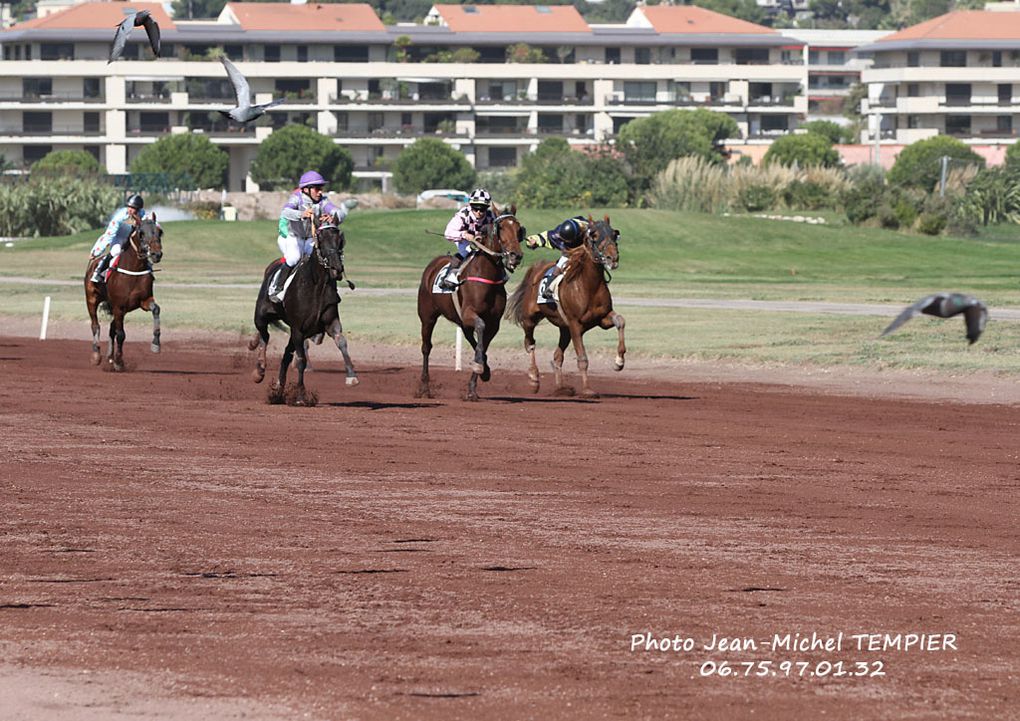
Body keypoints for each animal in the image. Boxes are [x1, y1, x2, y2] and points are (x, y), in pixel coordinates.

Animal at [84, 214, 163, 373]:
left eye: (159, 232)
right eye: (141, 233)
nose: (156, 254)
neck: (134, 270)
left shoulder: (143, 301)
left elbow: (156, 309)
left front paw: (155, 344)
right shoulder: (118, 306)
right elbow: (121, 334)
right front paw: (119, 361)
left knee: (111, 328)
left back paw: (109, 356)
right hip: (92, 300)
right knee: (96, 325)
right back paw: (97, 355)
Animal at [416, 206, 526, 403]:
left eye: (518, 229)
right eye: (501, 228)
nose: (516, 256)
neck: (487, 276)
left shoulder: (493, 322)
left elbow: (482, 345)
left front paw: (478, 380)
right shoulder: (469, 313)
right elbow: (480, 330)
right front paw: (481, 367)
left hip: (461, 321)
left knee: (469, 336)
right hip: (427, 317)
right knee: (426, 347)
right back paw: (425, 388)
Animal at [503, 218, 620, 399]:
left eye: (614, 234)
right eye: (595, 236)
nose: (612, 258)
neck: (589, 285)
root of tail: (536, 269)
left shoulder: (602, 318)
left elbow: (620, 321)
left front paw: (619, 362)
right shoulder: (575, 325)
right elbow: (582, 358)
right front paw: (587, 390)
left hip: (564, 329)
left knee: (557, 357)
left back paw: (561, 388)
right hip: (530, 319)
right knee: (530, 344)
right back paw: (534, 378)